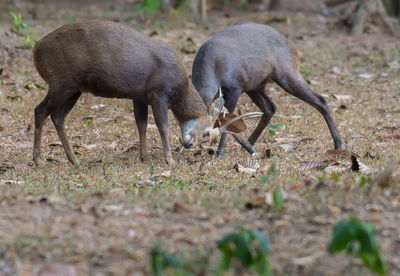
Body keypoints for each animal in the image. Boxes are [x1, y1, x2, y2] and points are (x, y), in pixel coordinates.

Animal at [32, 21, 256, 166]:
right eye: (208, 133)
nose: (188, 144)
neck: (180, 88)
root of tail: (36, 49)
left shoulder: (139, 96)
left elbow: (141, 124)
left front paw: (144, 157)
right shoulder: (158, 93)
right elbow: (161, 125)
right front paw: (169, 160)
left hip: (74, 88)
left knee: (58, 116)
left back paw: (74, 159)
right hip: (62, 81)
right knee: (40, 111)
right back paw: (38, 159)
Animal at [192, 22, 342, 156]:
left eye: (205, 133)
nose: (189, 143)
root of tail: (292, 47)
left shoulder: (234, 88)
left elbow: (228, 120)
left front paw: (220, 153)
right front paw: (246, 147)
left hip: (286, 74)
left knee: (320, 100)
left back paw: (338, 144)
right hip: (255, 85)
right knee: (270, 108)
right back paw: (250, 143)